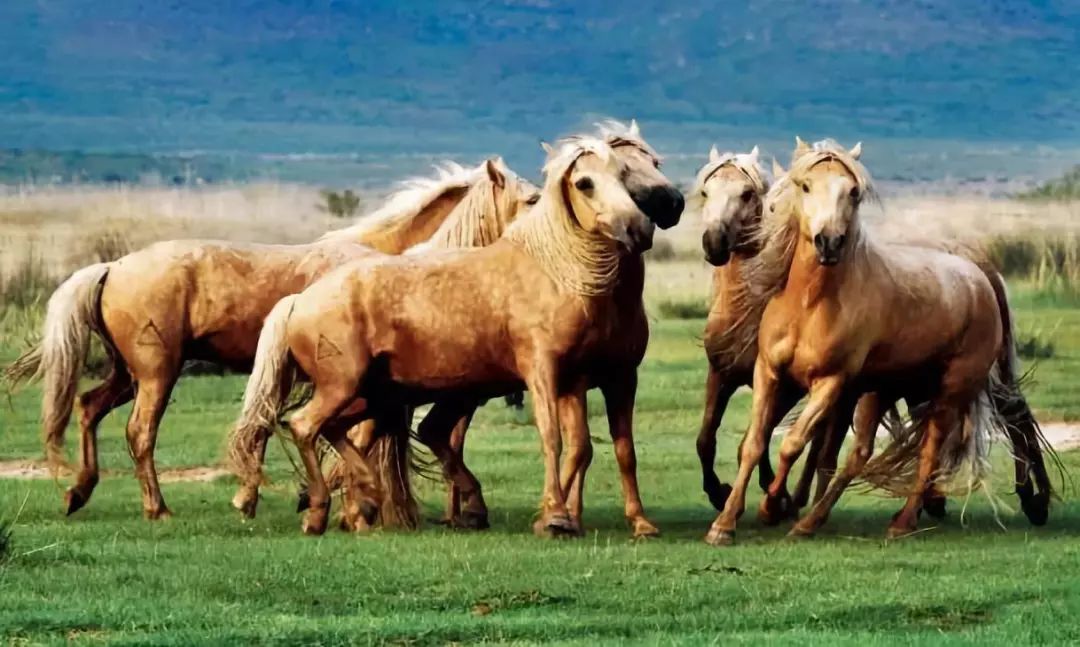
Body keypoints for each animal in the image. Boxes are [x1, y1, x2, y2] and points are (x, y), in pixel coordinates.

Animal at [4, 157, 535, 520]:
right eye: (532, 200)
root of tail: (113, 266)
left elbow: (267, 427)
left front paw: (261, 496)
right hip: (156, 375)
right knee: (139, 432)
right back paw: (156, 507)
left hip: (127, 374)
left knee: (88, 408)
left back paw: (79, 492)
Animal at [228, 135, 665, 535]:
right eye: (584, 183)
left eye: (624, 175)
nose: (639, 229)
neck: (552, 270)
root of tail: (299, 300)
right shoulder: (542, 372)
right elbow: (552, 439)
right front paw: (555, 517)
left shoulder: (582, 380)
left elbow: (593, 448)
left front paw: (573, 518)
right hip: (347, 388)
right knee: (305, 426)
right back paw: (325, 509)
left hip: (375, 395)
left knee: (338, 430)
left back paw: (363, 500)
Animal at [704, 139, 1049, 544]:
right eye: (805, 186)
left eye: (853, 192)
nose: (829, 241)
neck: (807, 304)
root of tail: (977, 273)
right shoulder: (767, 372)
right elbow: (755, 443)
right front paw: (725, 522)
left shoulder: (830, 383)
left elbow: (793, 444)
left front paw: (773, 505)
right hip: (894, 389)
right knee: (866, 452)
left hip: (952, 388)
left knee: (941, 446)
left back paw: (912, 519)